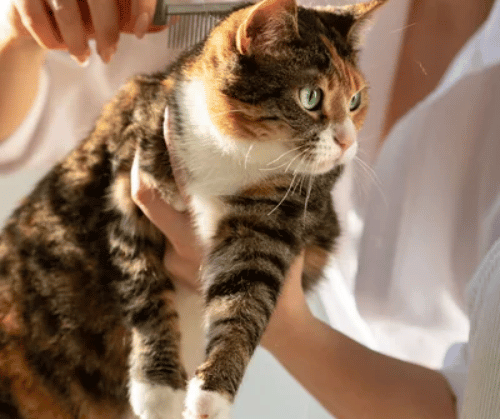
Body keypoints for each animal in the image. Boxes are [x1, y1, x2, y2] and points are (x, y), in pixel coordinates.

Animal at [0, 0, 386, 418]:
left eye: (355, 101)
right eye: (311, 97)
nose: (347, 142)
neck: (232, 152)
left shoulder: (276, 215)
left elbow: (248, 294)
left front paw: (212, 392)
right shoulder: (129, 179)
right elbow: (146, 288)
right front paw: (158, 387)